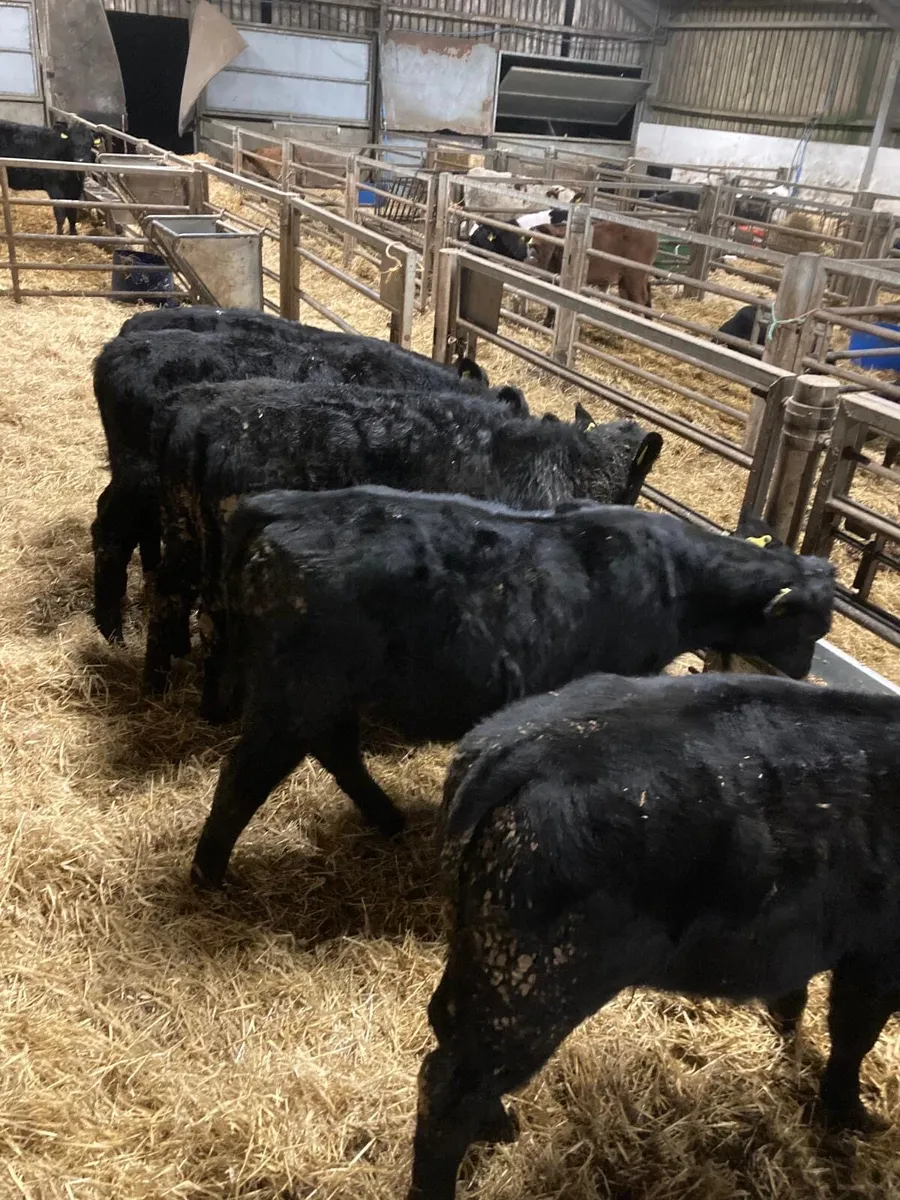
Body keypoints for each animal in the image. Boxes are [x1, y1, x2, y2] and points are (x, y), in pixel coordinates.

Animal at [145, 387, 661, 712]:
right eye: (635, 487)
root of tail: (198, 420)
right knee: (213, 621)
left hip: (181, 529)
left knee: (168, 594)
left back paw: (159, 682)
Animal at [188, 490, 834, 888]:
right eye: (811, 627)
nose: (804, 672)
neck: (676, 577)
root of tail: (279, 504)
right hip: (295, 696)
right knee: (247, 775)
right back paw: (208, 874)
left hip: (325, 693)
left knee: (336, 750)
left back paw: (388, 819)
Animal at [409, 669, 899, 1200]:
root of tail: (510, 749)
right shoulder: (878, 955)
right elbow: (854, 1034)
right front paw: (854, 1115)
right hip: (534, 981)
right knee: (448, 1090)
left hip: (482, 952)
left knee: (445, 1023)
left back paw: (498, 1124)